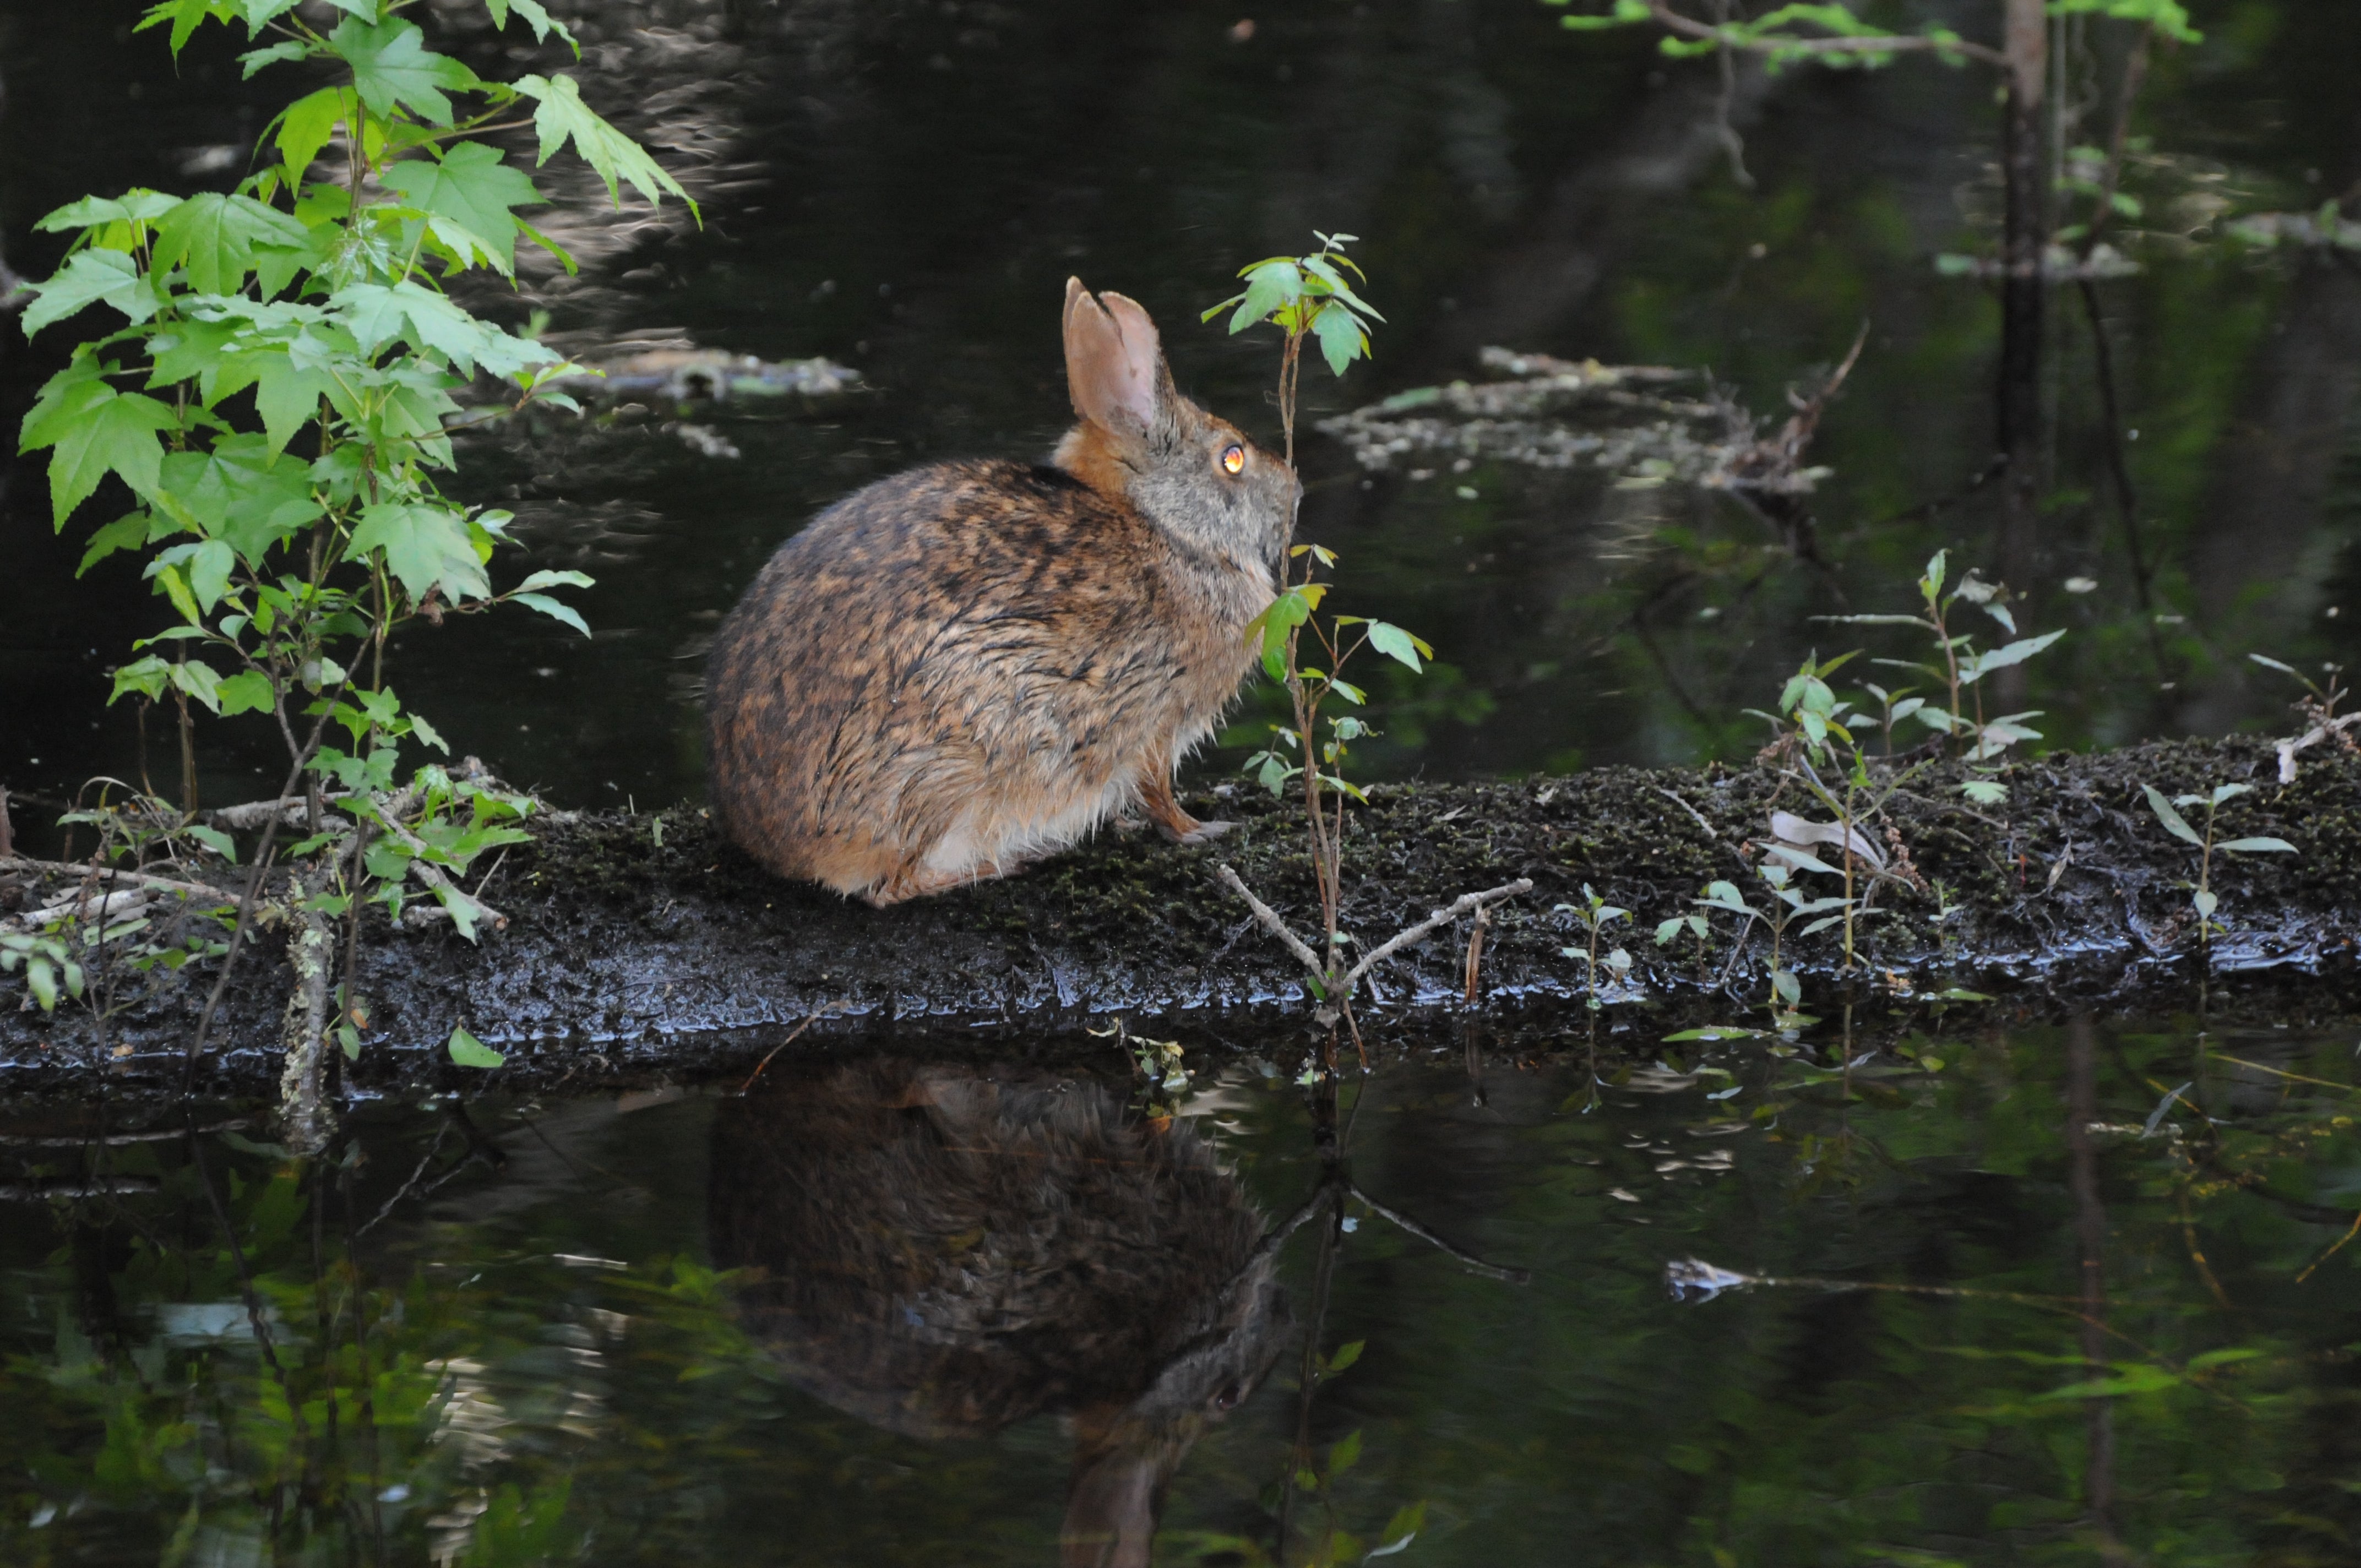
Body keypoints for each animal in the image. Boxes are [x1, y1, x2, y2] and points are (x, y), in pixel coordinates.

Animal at [703, 278, 1299, 905]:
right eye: (1232, 459)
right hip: (954, 758)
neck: (1166, 529)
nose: (1295, 489)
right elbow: (1158, 792)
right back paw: (1013, 860)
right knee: (894, 885)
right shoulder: (1153, 719)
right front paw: (1203, 830)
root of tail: (781, 845)